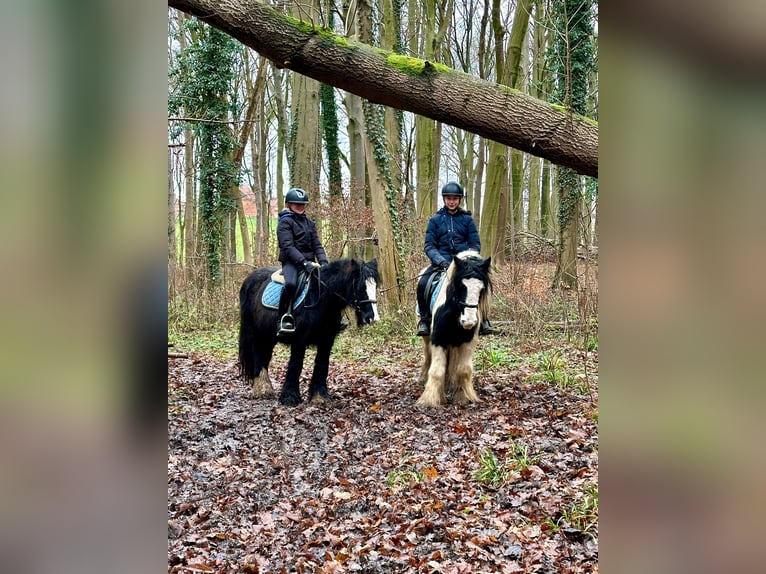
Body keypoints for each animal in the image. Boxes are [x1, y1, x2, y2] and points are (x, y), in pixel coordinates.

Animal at [238, 258, 380, 408]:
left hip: (269, 336)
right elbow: (295, 365)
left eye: (375, 287)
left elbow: (322, 365)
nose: (373, 318)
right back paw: (262, 389)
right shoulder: (299, 340)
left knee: (265, 356)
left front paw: (319, 396)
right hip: (256, 332)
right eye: (360, 287)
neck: (322, 297)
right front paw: (290, 397)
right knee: (258, 355)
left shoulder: (327, 340)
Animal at [416, 252, 496, 410]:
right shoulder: (438, 339)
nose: (468, 321)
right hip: (427, 337)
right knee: (428, 355)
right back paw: (423, 378)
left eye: (481, 288)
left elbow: (463, 370)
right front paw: (430, 400)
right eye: (461, 285)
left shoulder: (468, 341)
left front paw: (463, 397)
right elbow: (437, 371)